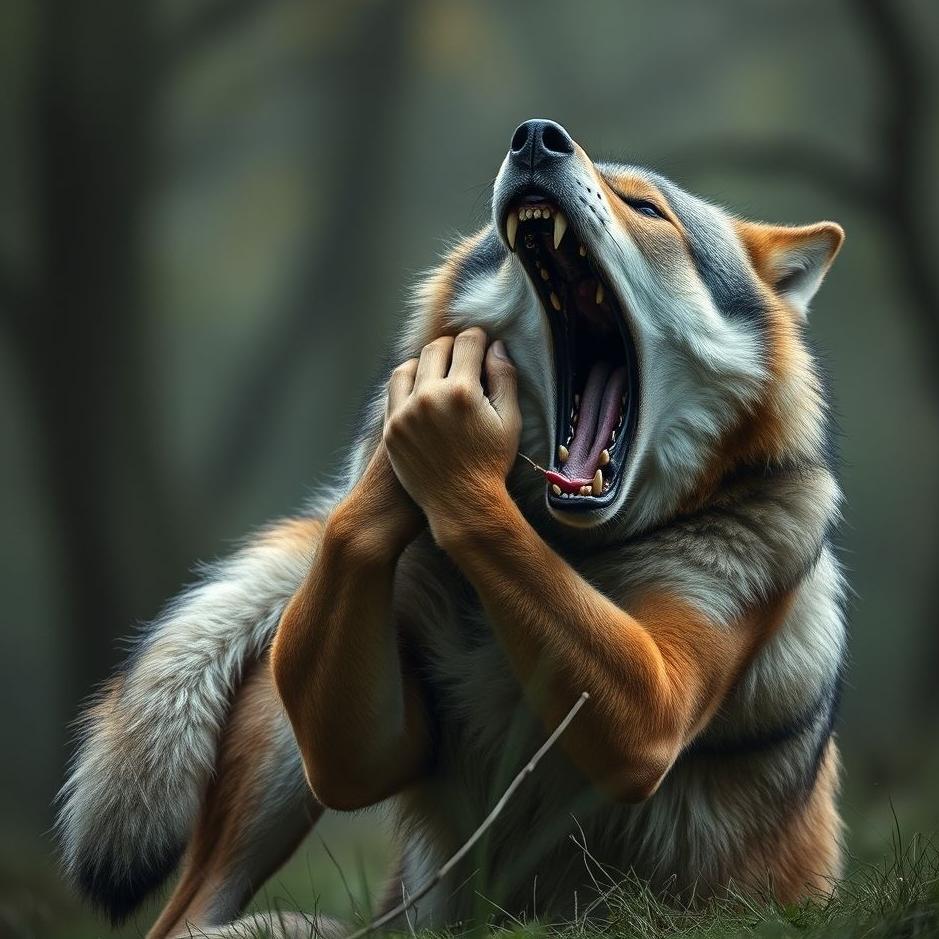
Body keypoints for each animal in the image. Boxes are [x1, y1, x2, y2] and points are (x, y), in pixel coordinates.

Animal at [57, 119, 847, 938]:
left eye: (646, 208)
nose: (536, 137)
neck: (573, 550)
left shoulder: (652, 711)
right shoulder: (371, 742)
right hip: (279, 750)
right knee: (187, 914)